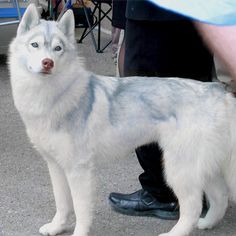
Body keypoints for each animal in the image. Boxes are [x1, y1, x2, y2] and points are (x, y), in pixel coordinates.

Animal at [8, 3, 236, 236]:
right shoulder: (56, 167)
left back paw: (176, 232)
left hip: (179, 170)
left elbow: (80, 210)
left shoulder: (78, 170)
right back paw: (207, 223)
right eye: (34, 45)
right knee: (220, 197)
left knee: (193, 206)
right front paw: (56, 227)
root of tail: (220, 92)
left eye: (58, 48)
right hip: (204, 168)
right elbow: (62, 204)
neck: (53, 95)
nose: (48, 63)